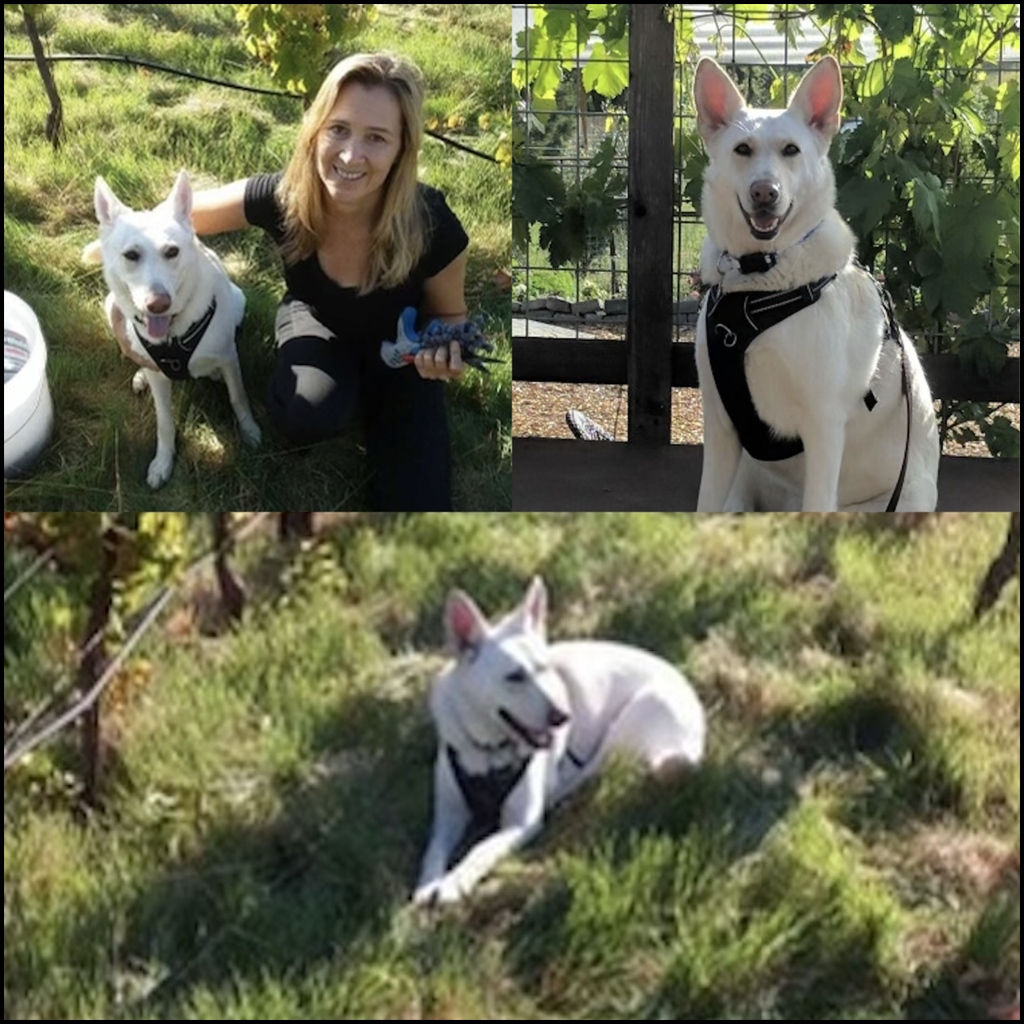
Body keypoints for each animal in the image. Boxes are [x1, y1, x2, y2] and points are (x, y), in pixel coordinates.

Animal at [92, 169, 260, 489]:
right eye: (131, 255)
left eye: (172, 251)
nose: (158, 304)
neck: (174, 332)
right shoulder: (160, 379)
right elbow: (165, 423)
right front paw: (163, 462)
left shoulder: (228, 356)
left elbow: (239, 397)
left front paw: (250, 432)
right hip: (110, 306)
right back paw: (140, 376)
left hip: (239, 300)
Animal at [413, 577, 704, 905]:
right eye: (515, 677)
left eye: (546, 668)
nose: (563, 716)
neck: (490, 751)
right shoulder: (448, 814)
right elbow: (433, 850)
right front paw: (427, 885)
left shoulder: (520, 824)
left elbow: (480, 849)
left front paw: (455, 882)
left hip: (629, 720)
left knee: (588, 771)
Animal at [692, 56, 937, 512]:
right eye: (742, 150)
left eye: (791, 150)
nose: (764, 193)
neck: (758, 283)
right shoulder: (719, 429)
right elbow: (704, 505)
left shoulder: (823, 429)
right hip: (744, 478)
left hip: (907, 494)